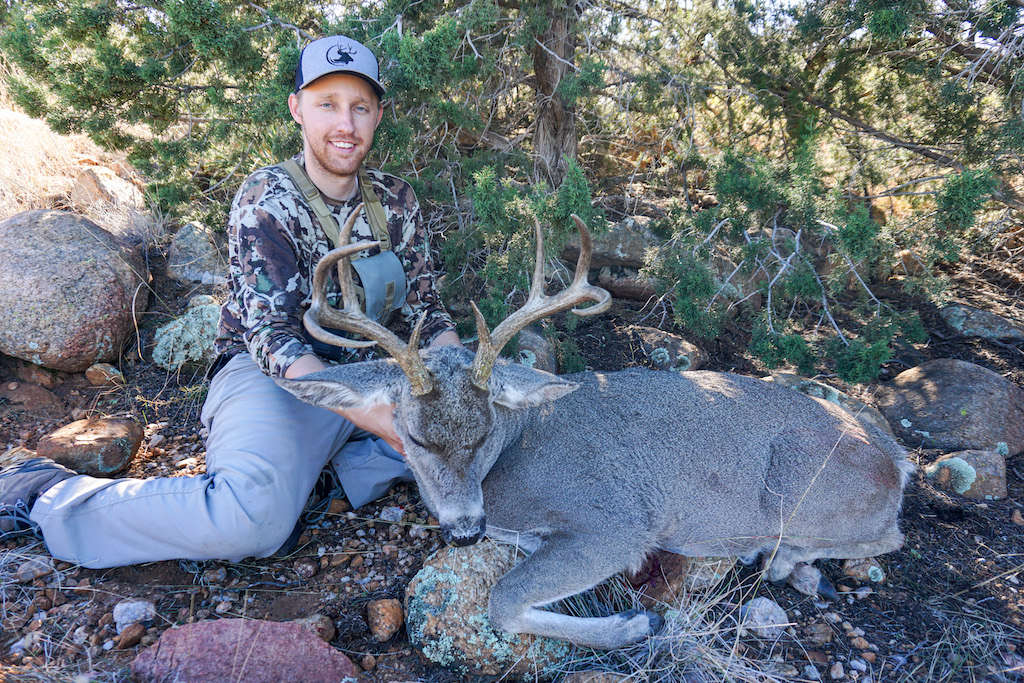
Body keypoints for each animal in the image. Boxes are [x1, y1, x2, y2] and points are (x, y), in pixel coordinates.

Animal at [275, 206, 913, 650]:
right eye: (413, 437)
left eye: (484, 433)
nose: (464, 531)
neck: (513, 457)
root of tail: (896, 460)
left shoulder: (617, 523)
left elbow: (503, 601)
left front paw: (634, 623)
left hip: (797, 490)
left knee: (887, 537)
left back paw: (781, 560)